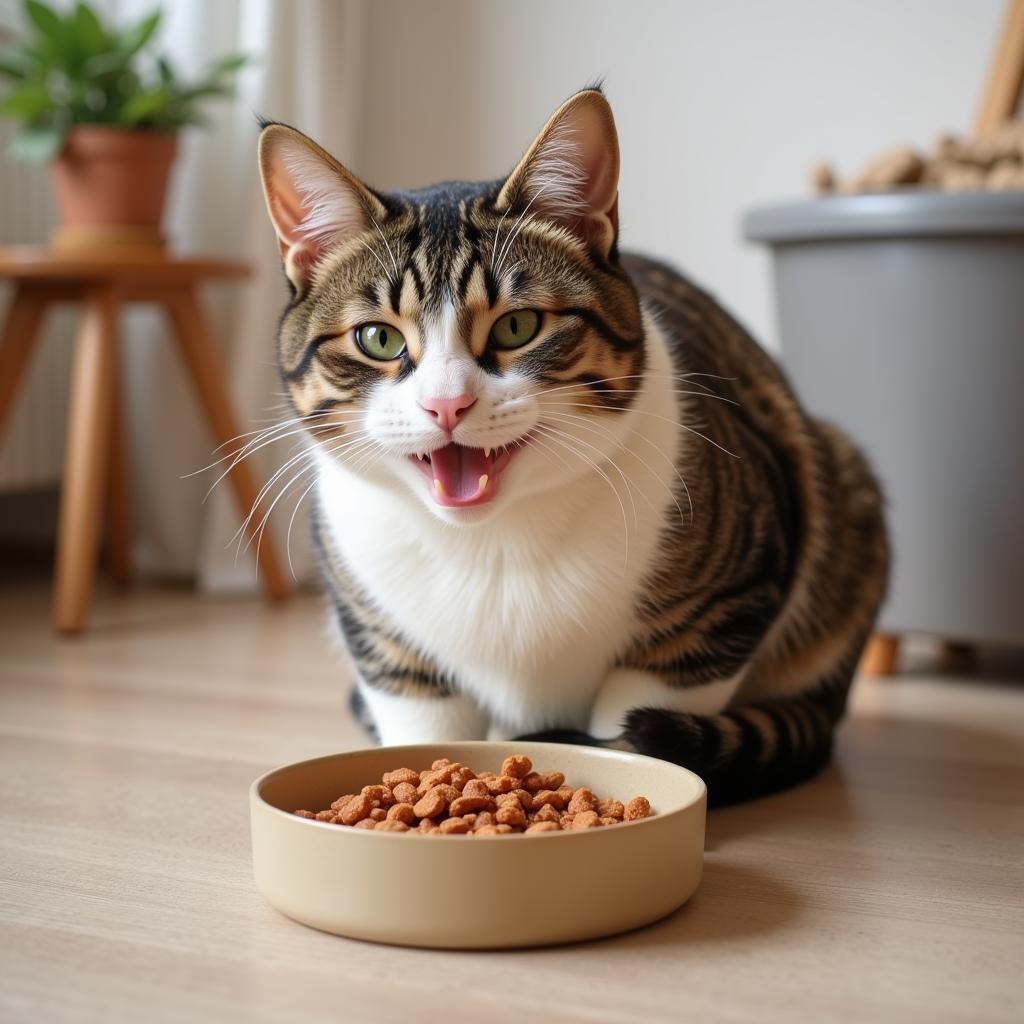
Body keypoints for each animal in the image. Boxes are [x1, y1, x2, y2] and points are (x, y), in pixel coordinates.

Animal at [256, 86, 888, 806]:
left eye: (518, 326)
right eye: (378, 339)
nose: (446, 404)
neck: (491, 548)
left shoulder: (714, 619)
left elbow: (637, 720)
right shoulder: (390, 651)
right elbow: (420, 725)